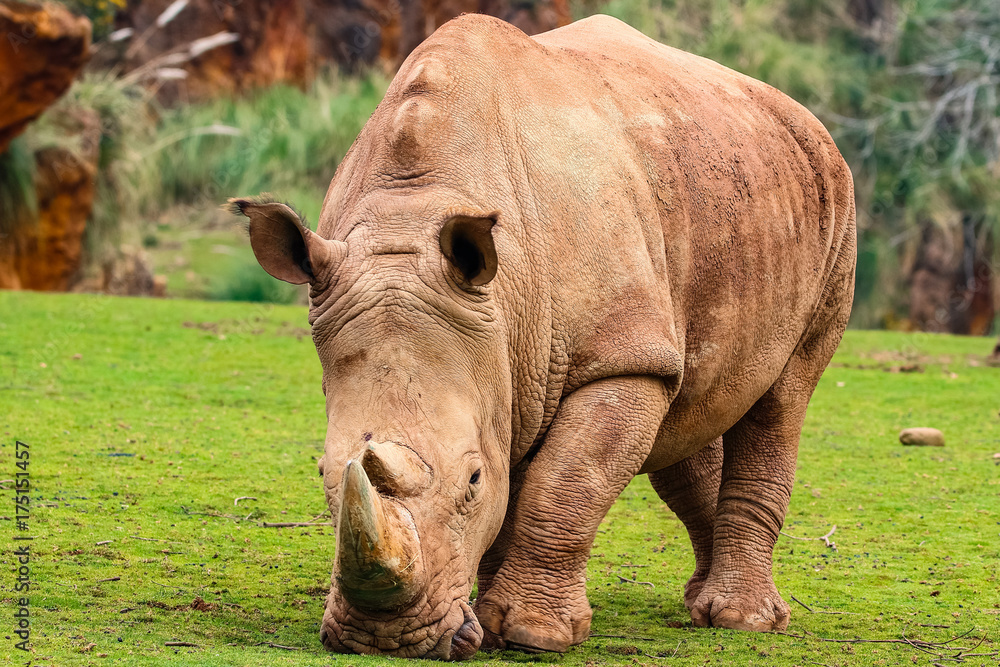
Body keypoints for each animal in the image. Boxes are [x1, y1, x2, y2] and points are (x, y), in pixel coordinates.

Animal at [230, 13, 856, 660]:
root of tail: (798, 113)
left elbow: (565, 481)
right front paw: (486, 623)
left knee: (784, 395)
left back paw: (742, 620)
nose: (387, 640)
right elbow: (524, 485)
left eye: (472, 481)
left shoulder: (615, 356)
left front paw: (533, 635)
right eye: (323, 474)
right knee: (684, 407)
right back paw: (702, 603)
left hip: (833, 198)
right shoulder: (505, 346)